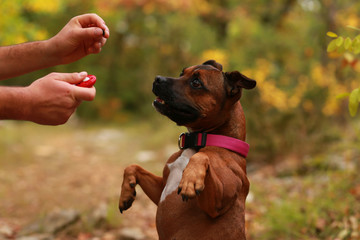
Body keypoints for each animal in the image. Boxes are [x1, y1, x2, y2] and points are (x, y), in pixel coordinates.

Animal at [119, 60, 258, 240]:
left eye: (196, 83)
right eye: (181, 73)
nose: (157, 79)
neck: (199, 140)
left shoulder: (217, 204)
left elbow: (201, 157)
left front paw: (190, 179)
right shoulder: (161, 188)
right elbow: (133, 167)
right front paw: (126, 193)